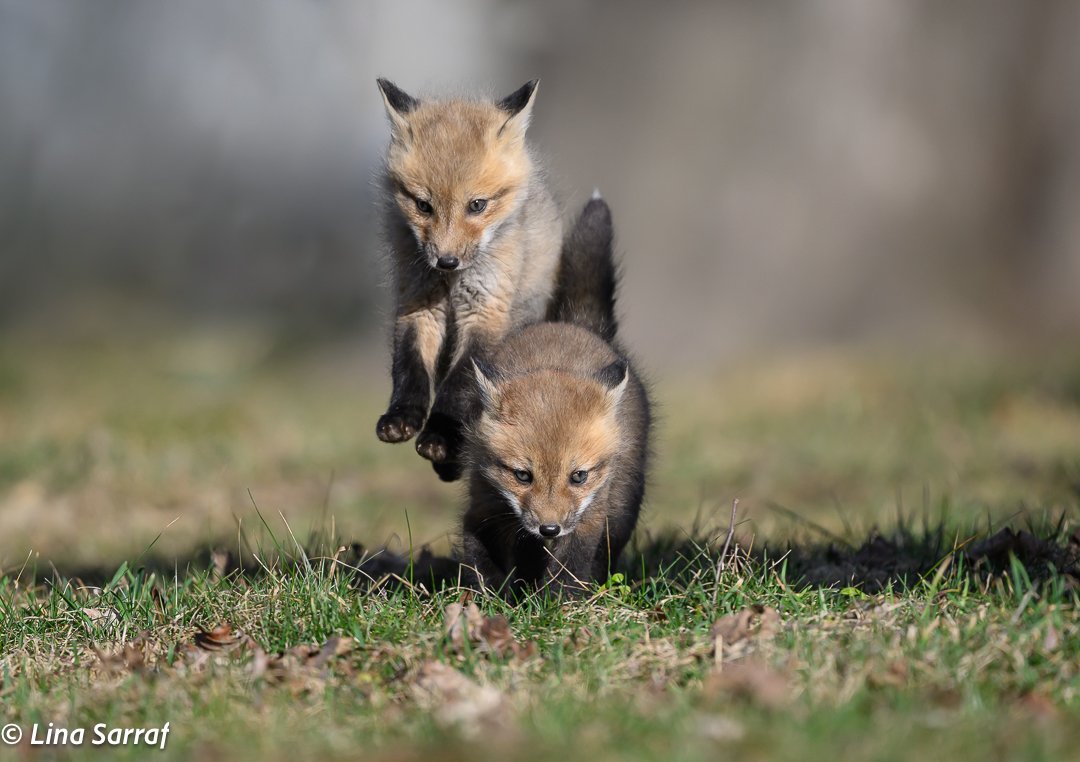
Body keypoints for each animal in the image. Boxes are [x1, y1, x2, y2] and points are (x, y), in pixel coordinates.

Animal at [373, 78, 563, 482]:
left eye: (477, 205)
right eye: (423, 205)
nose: (446, 261)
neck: (450, 285)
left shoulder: (486, 312)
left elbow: (459, 384)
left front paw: (439, 436)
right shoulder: (418, 304)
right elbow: (409, 368)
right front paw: (402, 417)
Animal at [460, 197, 652, 596]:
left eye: (578, 476)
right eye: (522, 475)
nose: (549, 528)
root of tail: (574, 323)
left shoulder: (588, 518)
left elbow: (570, 567)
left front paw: (558, 603)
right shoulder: (483, 505)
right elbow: (478, 558)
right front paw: (491, 596)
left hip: (621, 505)